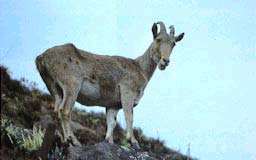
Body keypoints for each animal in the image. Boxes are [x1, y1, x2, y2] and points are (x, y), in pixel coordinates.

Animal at [35, 21, 184, 149]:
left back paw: (64, 140)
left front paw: (109, 141)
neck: (141, 68)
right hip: (71, 85)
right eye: (158, 39)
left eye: (173, 43)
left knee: (56, 110)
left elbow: (111, 122)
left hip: (54, 87)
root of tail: (41, 58)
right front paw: (133, 142)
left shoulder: (113, 105)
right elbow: (129, 117)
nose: (165, 61)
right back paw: (73, 141)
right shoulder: (127, 92)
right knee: (65, 110)